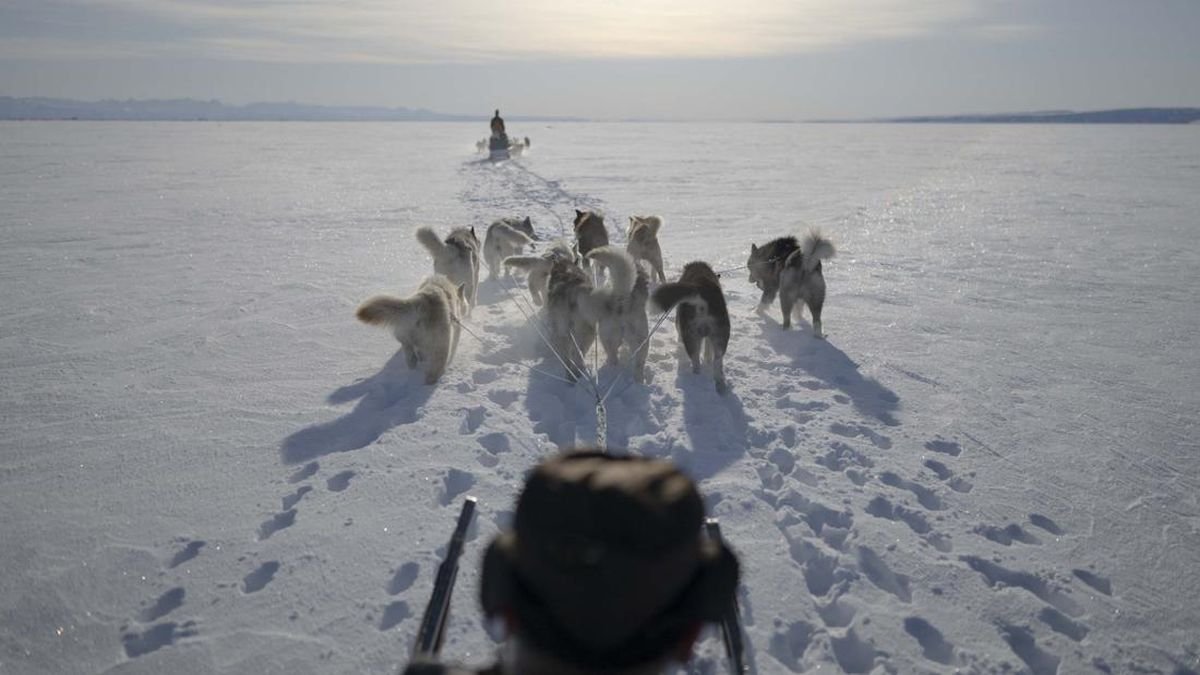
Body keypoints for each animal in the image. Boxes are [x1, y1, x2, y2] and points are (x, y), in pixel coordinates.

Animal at [648, 258, 729, 393]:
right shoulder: (709, 337)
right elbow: (708, 350)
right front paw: (707, 359)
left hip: (691, 338)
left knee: (696, 363)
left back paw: (696, 379)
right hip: (720, 338)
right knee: (718, 363)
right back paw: (720, 386)